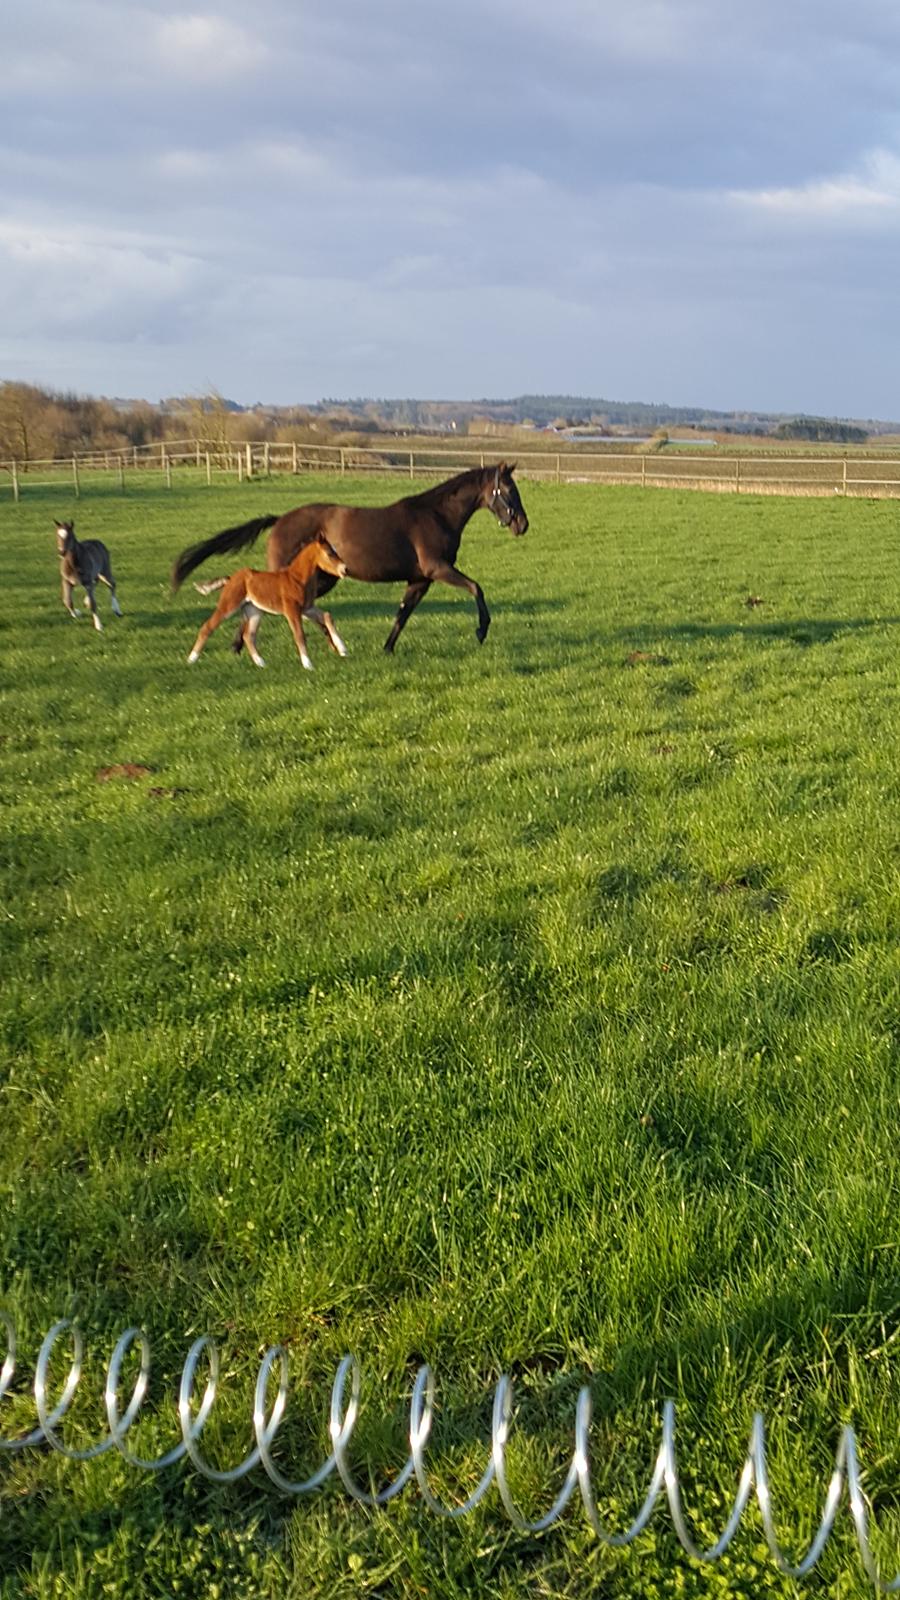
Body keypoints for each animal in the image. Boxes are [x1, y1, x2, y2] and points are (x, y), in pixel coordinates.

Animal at [169, 464, 525, 649]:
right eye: (508, 491)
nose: (523, 524)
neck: (435, 516)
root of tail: (280, 519)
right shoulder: (438, 569)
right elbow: (476, 587)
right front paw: (481, 631)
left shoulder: (420, 579)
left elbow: (403, 613)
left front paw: (387, 649)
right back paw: (240, 645)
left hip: (322, 579)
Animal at [185, 531, 347, 668]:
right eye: (329, 553)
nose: (344, 569)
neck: (297, 579)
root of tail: (230, 579)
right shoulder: (292, 610)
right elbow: (299, 635)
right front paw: (308, 665)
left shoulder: (307, 608)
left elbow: (327, 616)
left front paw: (342, 649)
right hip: (229, 605)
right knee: (207, 627)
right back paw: (191, 659)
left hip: (254, 610)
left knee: (248, 636)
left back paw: (261, 663)